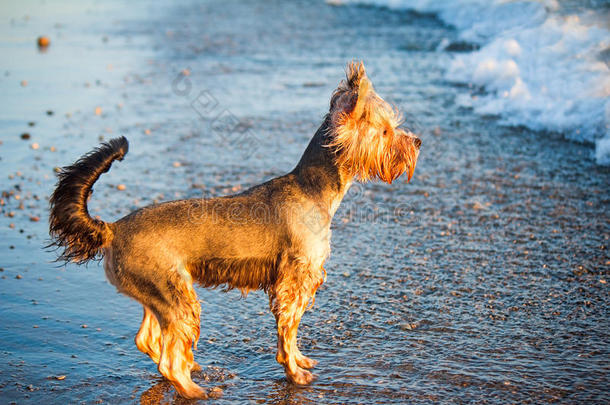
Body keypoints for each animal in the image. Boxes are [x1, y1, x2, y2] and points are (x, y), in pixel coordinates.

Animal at [48, 61, 418, 400]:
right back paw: (195, 390)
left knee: (149, 340)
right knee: (169, 358)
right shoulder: (295, 280)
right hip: (176, 295)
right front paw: (294, 372)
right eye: (386, 131)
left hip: (160, 294)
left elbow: (293, 331)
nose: (417, 141)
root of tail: (112, 230)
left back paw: (191, 368)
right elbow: (288, 329)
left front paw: (300, 360)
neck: (312, 188)